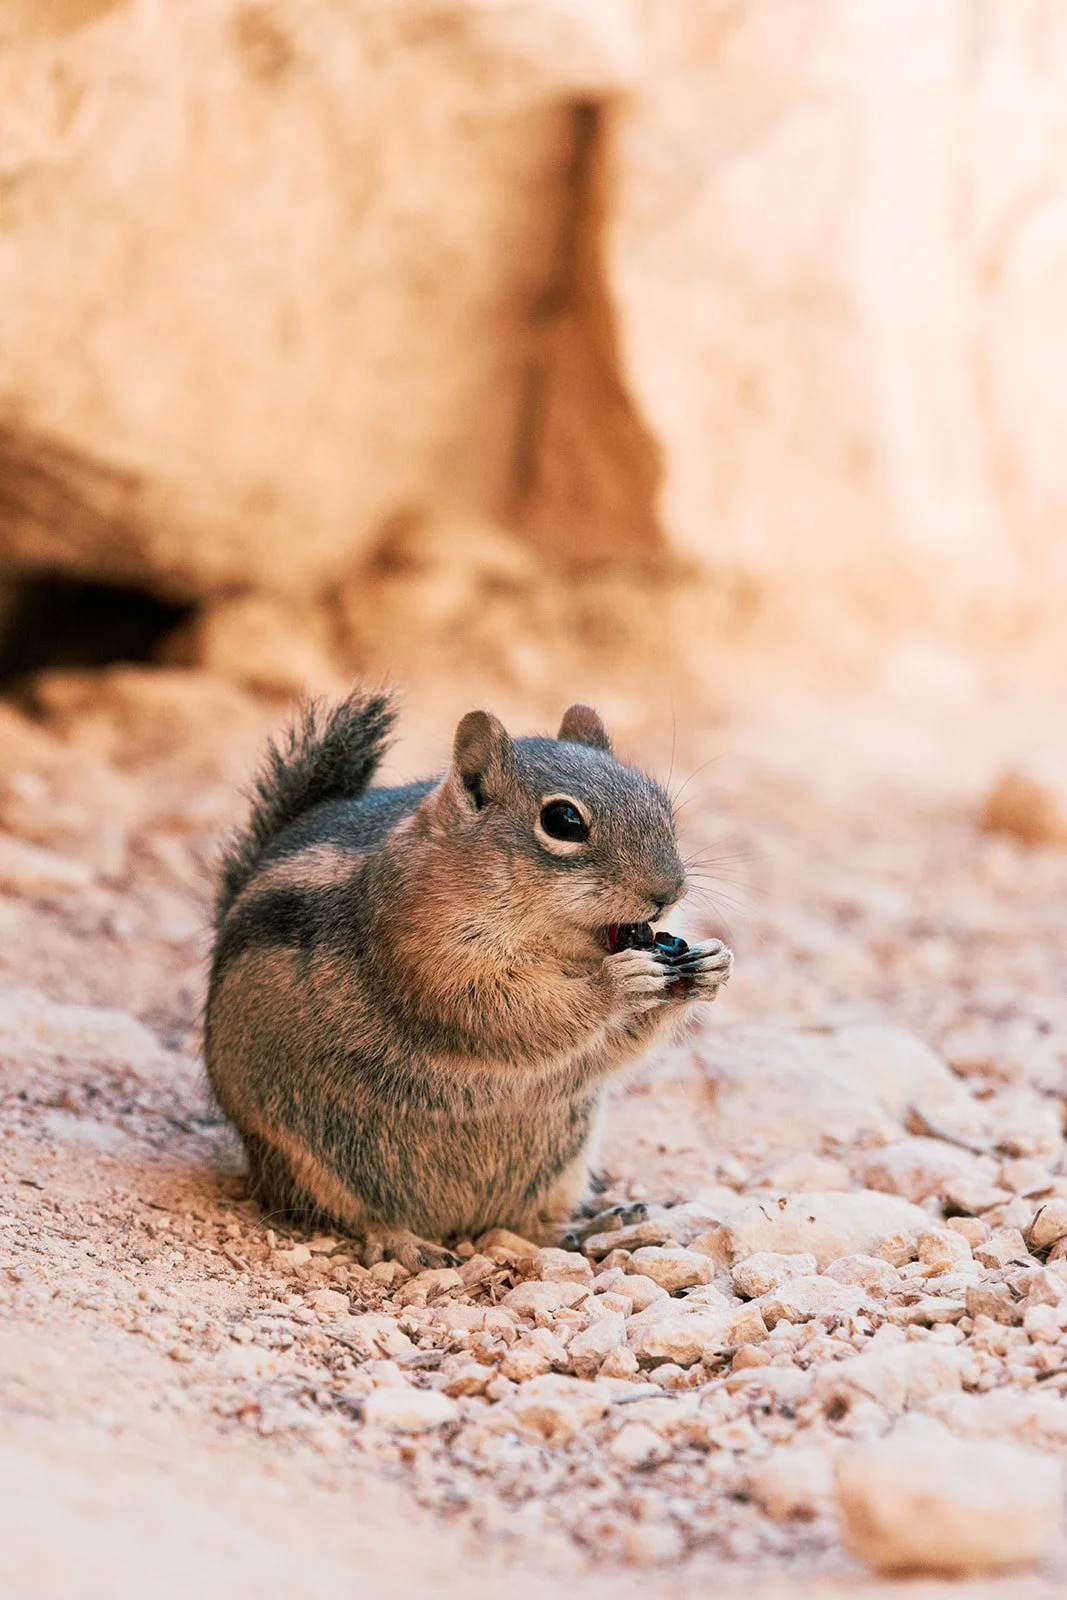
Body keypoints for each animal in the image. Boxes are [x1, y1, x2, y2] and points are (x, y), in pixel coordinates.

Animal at [204, 691, 732, 1269]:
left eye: (659, 802)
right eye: (564, 820)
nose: (669, 891)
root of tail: (458, 1222)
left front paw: (712, 964)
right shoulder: (425, 953)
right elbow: (496, 1012)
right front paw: (615, 984)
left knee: (526, 1223)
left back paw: (593, 1225)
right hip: (301, 1152)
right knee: (350, 1213)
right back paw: (407, 1242)